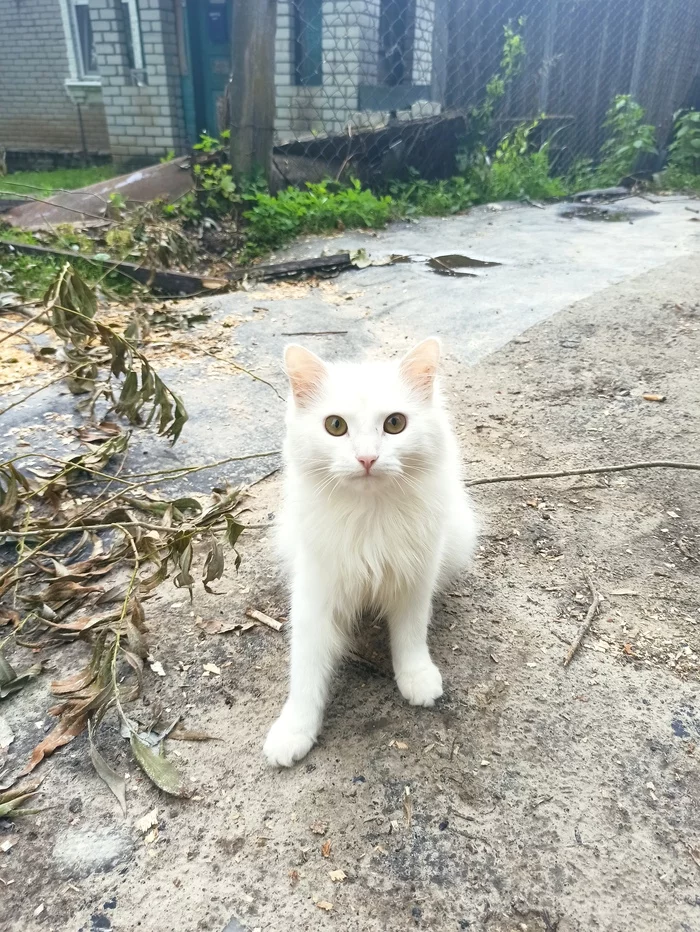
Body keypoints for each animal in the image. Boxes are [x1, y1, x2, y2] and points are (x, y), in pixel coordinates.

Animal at [262, 338, 476, 768]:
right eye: (335, 426)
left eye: (394, 423)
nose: (367, 459)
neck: (370, 514)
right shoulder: (314, 594)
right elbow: (305, 670)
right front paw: (294, 730)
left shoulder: (416, 577)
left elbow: (410, 634)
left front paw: (416, 677)